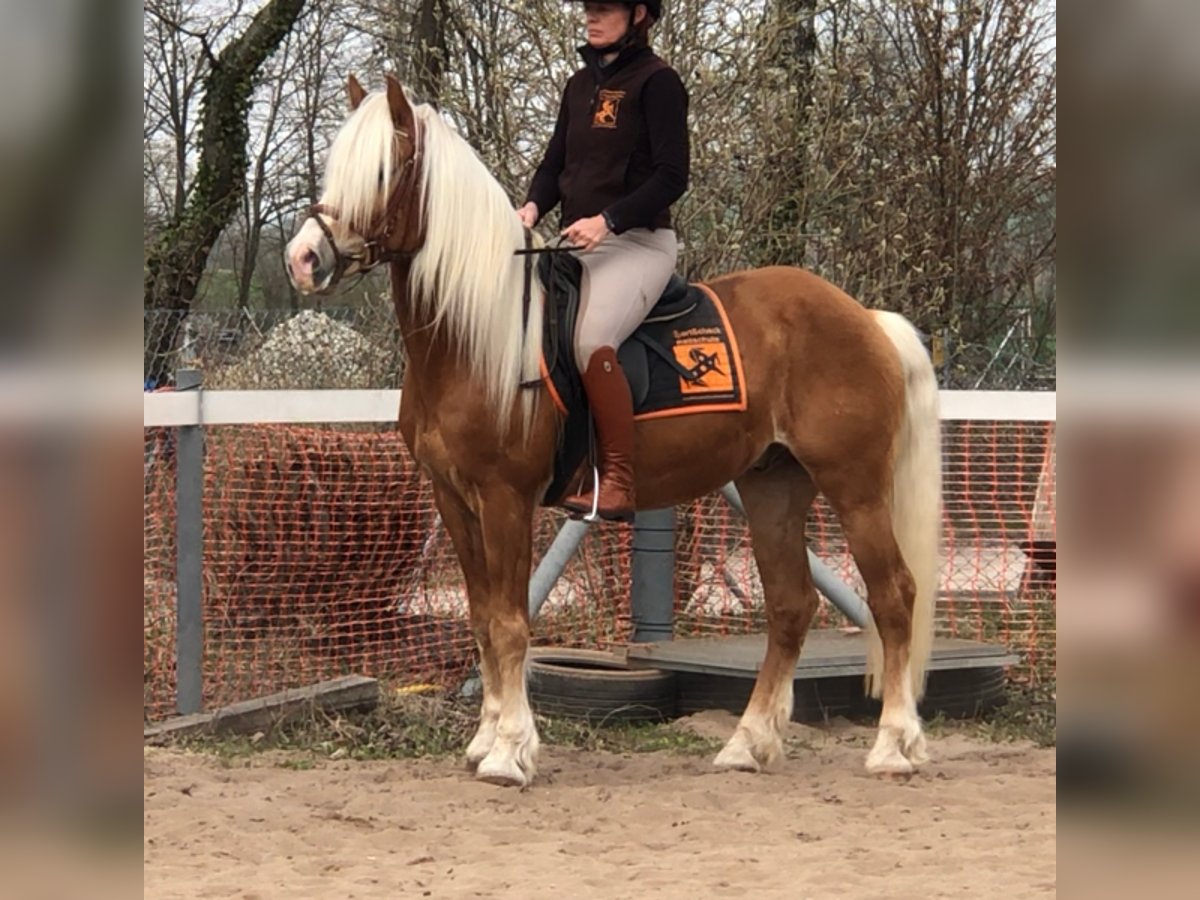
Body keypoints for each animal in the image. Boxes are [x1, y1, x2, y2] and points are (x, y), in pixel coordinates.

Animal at [285, 74, 940, 787]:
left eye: (382, 171)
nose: (303, 258)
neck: (475, 335)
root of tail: (865, 318)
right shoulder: (453, 499)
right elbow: (483, 620)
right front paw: (487, 740)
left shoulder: (505, 499)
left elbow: (510, 623)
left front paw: (511, 751)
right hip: (773, 485)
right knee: (791, 606)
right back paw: (748, 743)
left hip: (856, 487)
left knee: (894, 595)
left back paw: (893, 745)